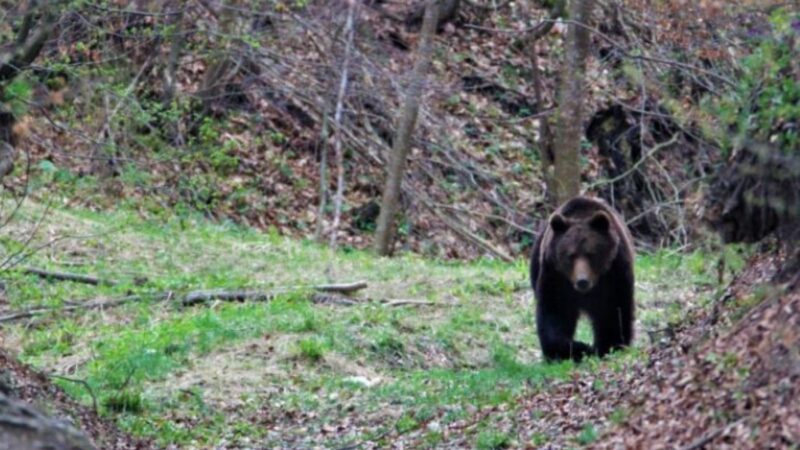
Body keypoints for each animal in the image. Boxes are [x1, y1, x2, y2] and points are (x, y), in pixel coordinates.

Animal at [528, 197, 636, 362]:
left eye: (591, 254)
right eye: (571, 255)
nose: (582, 281)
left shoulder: (614, 273)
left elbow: (614, 311)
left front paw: (609, 346)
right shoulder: (555, 276)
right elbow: (554, 312)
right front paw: (577, 348)